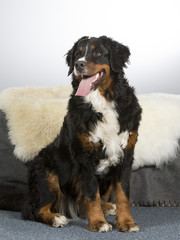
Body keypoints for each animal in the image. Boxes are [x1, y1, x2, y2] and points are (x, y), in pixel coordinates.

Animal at [21, 36, 141, 232]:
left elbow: (123, 194)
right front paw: (98, 222)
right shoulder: (85, 157)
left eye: (97, 52)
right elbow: (92, 194)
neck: (102, 102)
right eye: (78, 54)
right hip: (47, 173)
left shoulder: (126, 155)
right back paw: (56, 218)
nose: (79, 64)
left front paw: (126, 222)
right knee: (35, 210)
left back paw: (108, 207)